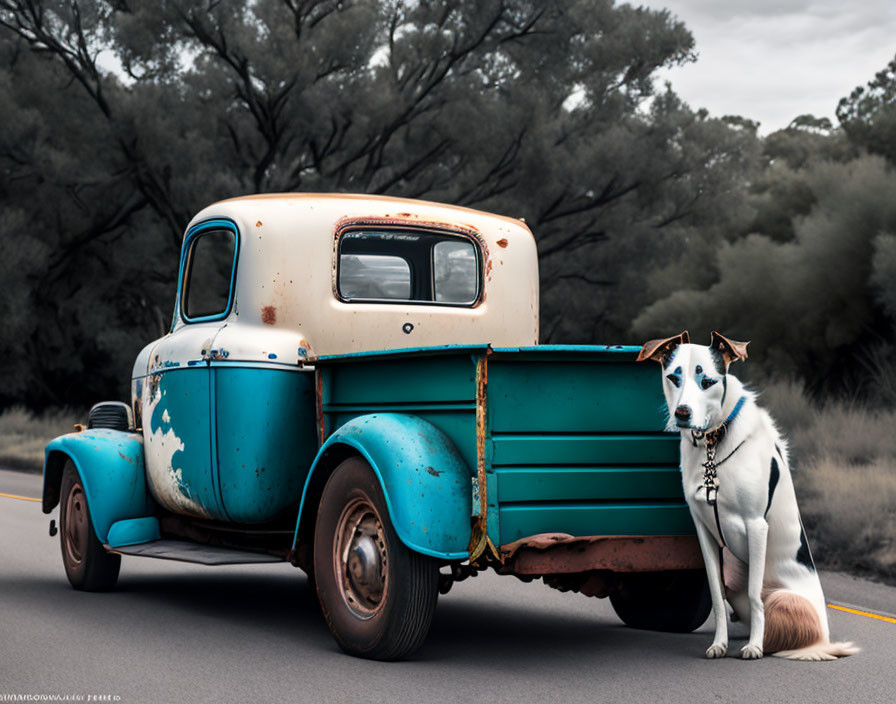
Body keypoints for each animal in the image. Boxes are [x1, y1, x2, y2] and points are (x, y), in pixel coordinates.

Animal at [636, 330, 856, 660]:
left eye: (707, 381)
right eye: (673, 377)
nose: (682, 414)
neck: (713, 445)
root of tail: (822, 640)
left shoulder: (756, 525)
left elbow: (755, 595)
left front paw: (753, 646)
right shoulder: (704, 533)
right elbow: (716, 595)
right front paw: (719, 644)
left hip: (785, 599)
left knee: (776, 623)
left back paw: (765, 643)